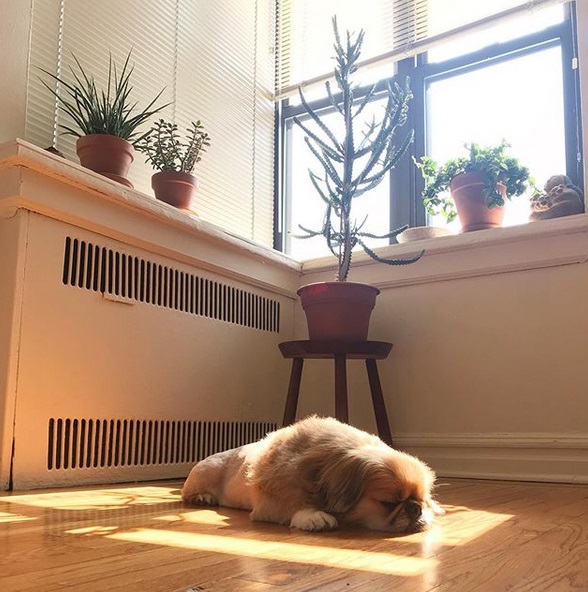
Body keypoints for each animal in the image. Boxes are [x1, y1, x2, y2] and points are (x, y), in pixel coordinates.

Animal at [181, 414, 444, 536]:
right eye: (388, 503)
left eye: (422, 501)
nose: (415, 508)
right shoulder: (270, 500)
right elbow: (293, 504)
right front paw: (314, 516)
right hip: (203, 473)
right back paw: (203, 498)